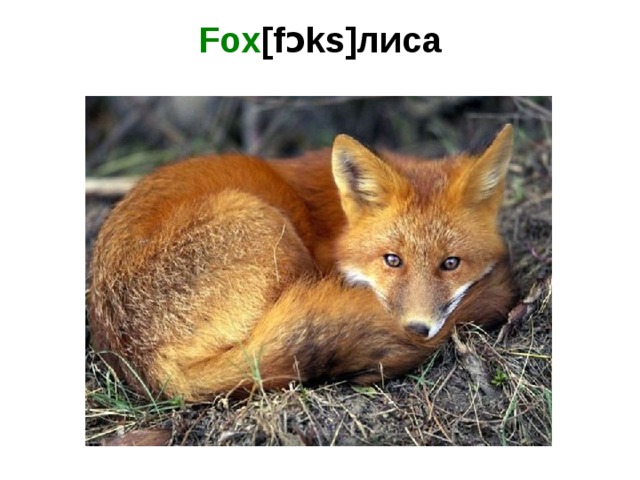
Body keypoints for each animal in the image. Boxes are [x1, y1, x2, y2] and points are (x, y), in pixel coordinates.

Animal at [88, 124, 516, 402]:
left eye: (451, 263)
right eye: (392, 260)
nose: (417, 329)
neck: (338, 223)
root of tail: (147, 367)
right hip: (268, 225)